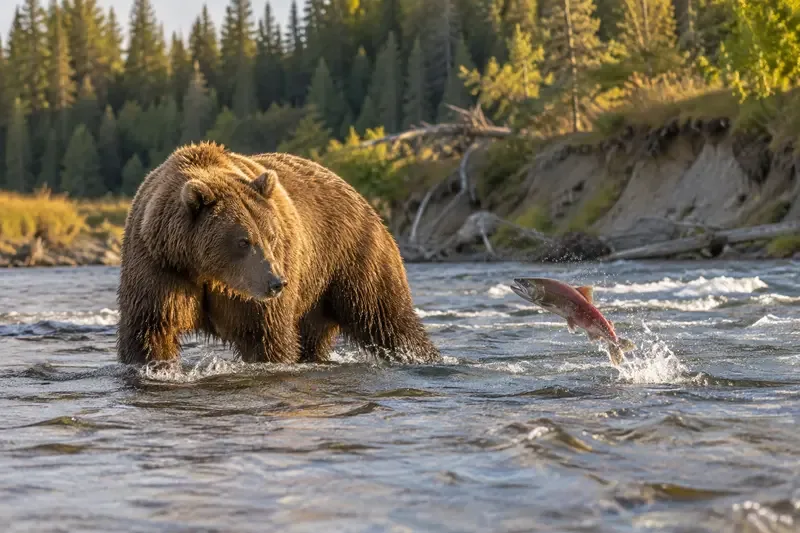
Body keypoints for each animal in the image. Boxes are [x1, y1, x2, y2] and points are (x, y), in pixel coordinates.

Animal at [115, 142, 440, 366]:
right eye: (243, 241)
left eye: (271, 235)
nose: (276, 283)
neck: (206, 272)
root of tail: (358, 195)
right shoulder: (159, 266)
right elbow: (152, 329)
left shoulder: (251, 293)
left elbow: (266, 336)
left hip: (352, 254)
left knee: (385, 315)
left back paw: (422, 355)